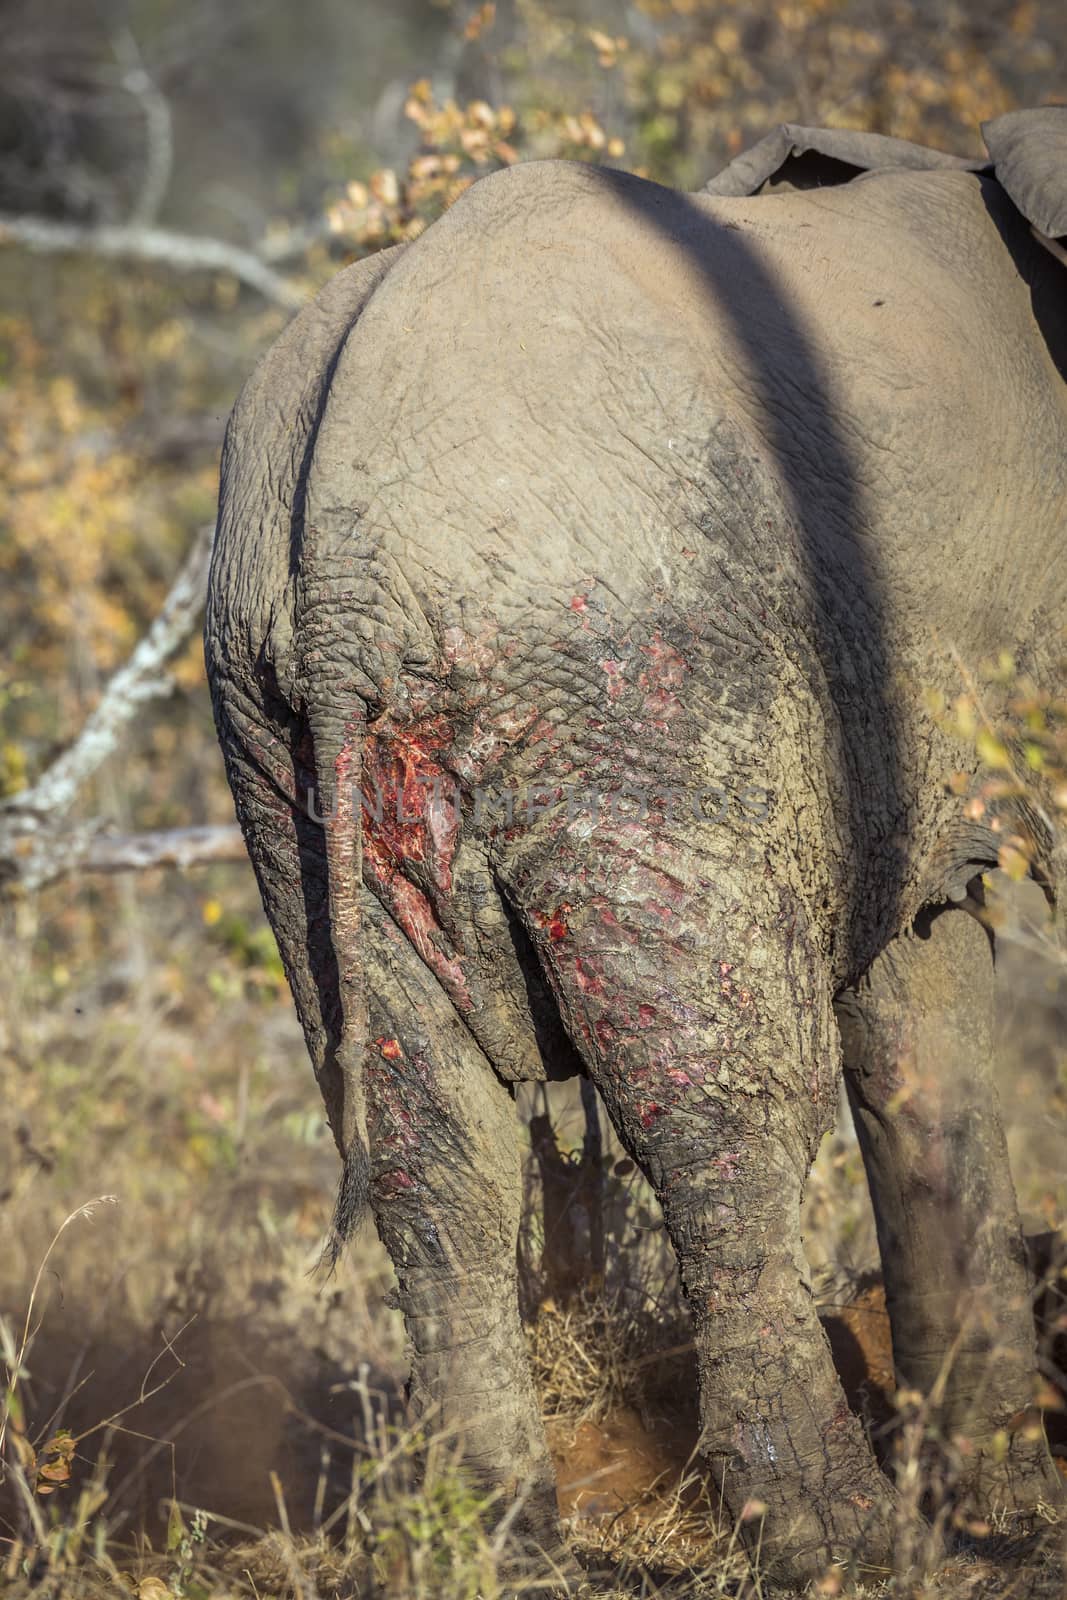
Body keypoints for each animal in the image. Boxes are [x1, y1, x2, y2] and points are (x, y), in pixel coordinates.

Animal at [207, 112, 1067, 1587]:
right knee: (725, 1109)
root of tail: (344, 571)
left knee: (435, 1147)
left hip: (282, 749)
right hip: (641, 687)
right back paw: (835, 1546)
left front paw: (1004, 1505)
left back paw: (499, 1541)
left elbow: (918, 999)